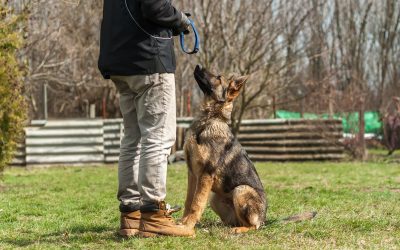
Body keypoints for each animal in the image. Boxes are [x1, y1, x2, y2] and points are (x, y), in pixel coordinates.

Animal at [181, 65, 266, 233]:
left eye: (218, 78)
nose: (198, 66)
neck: (207, 120)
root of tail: (265, 220)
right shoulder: (192, 173)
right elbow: (188, 202)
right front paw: (181, 224)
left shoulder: (206, 175)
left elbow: (196, 204)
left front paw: (187, 226)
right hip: (214, 199)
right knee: (235, 221)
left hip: (241, 190)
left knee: (252, 226)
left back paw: (239, 230)